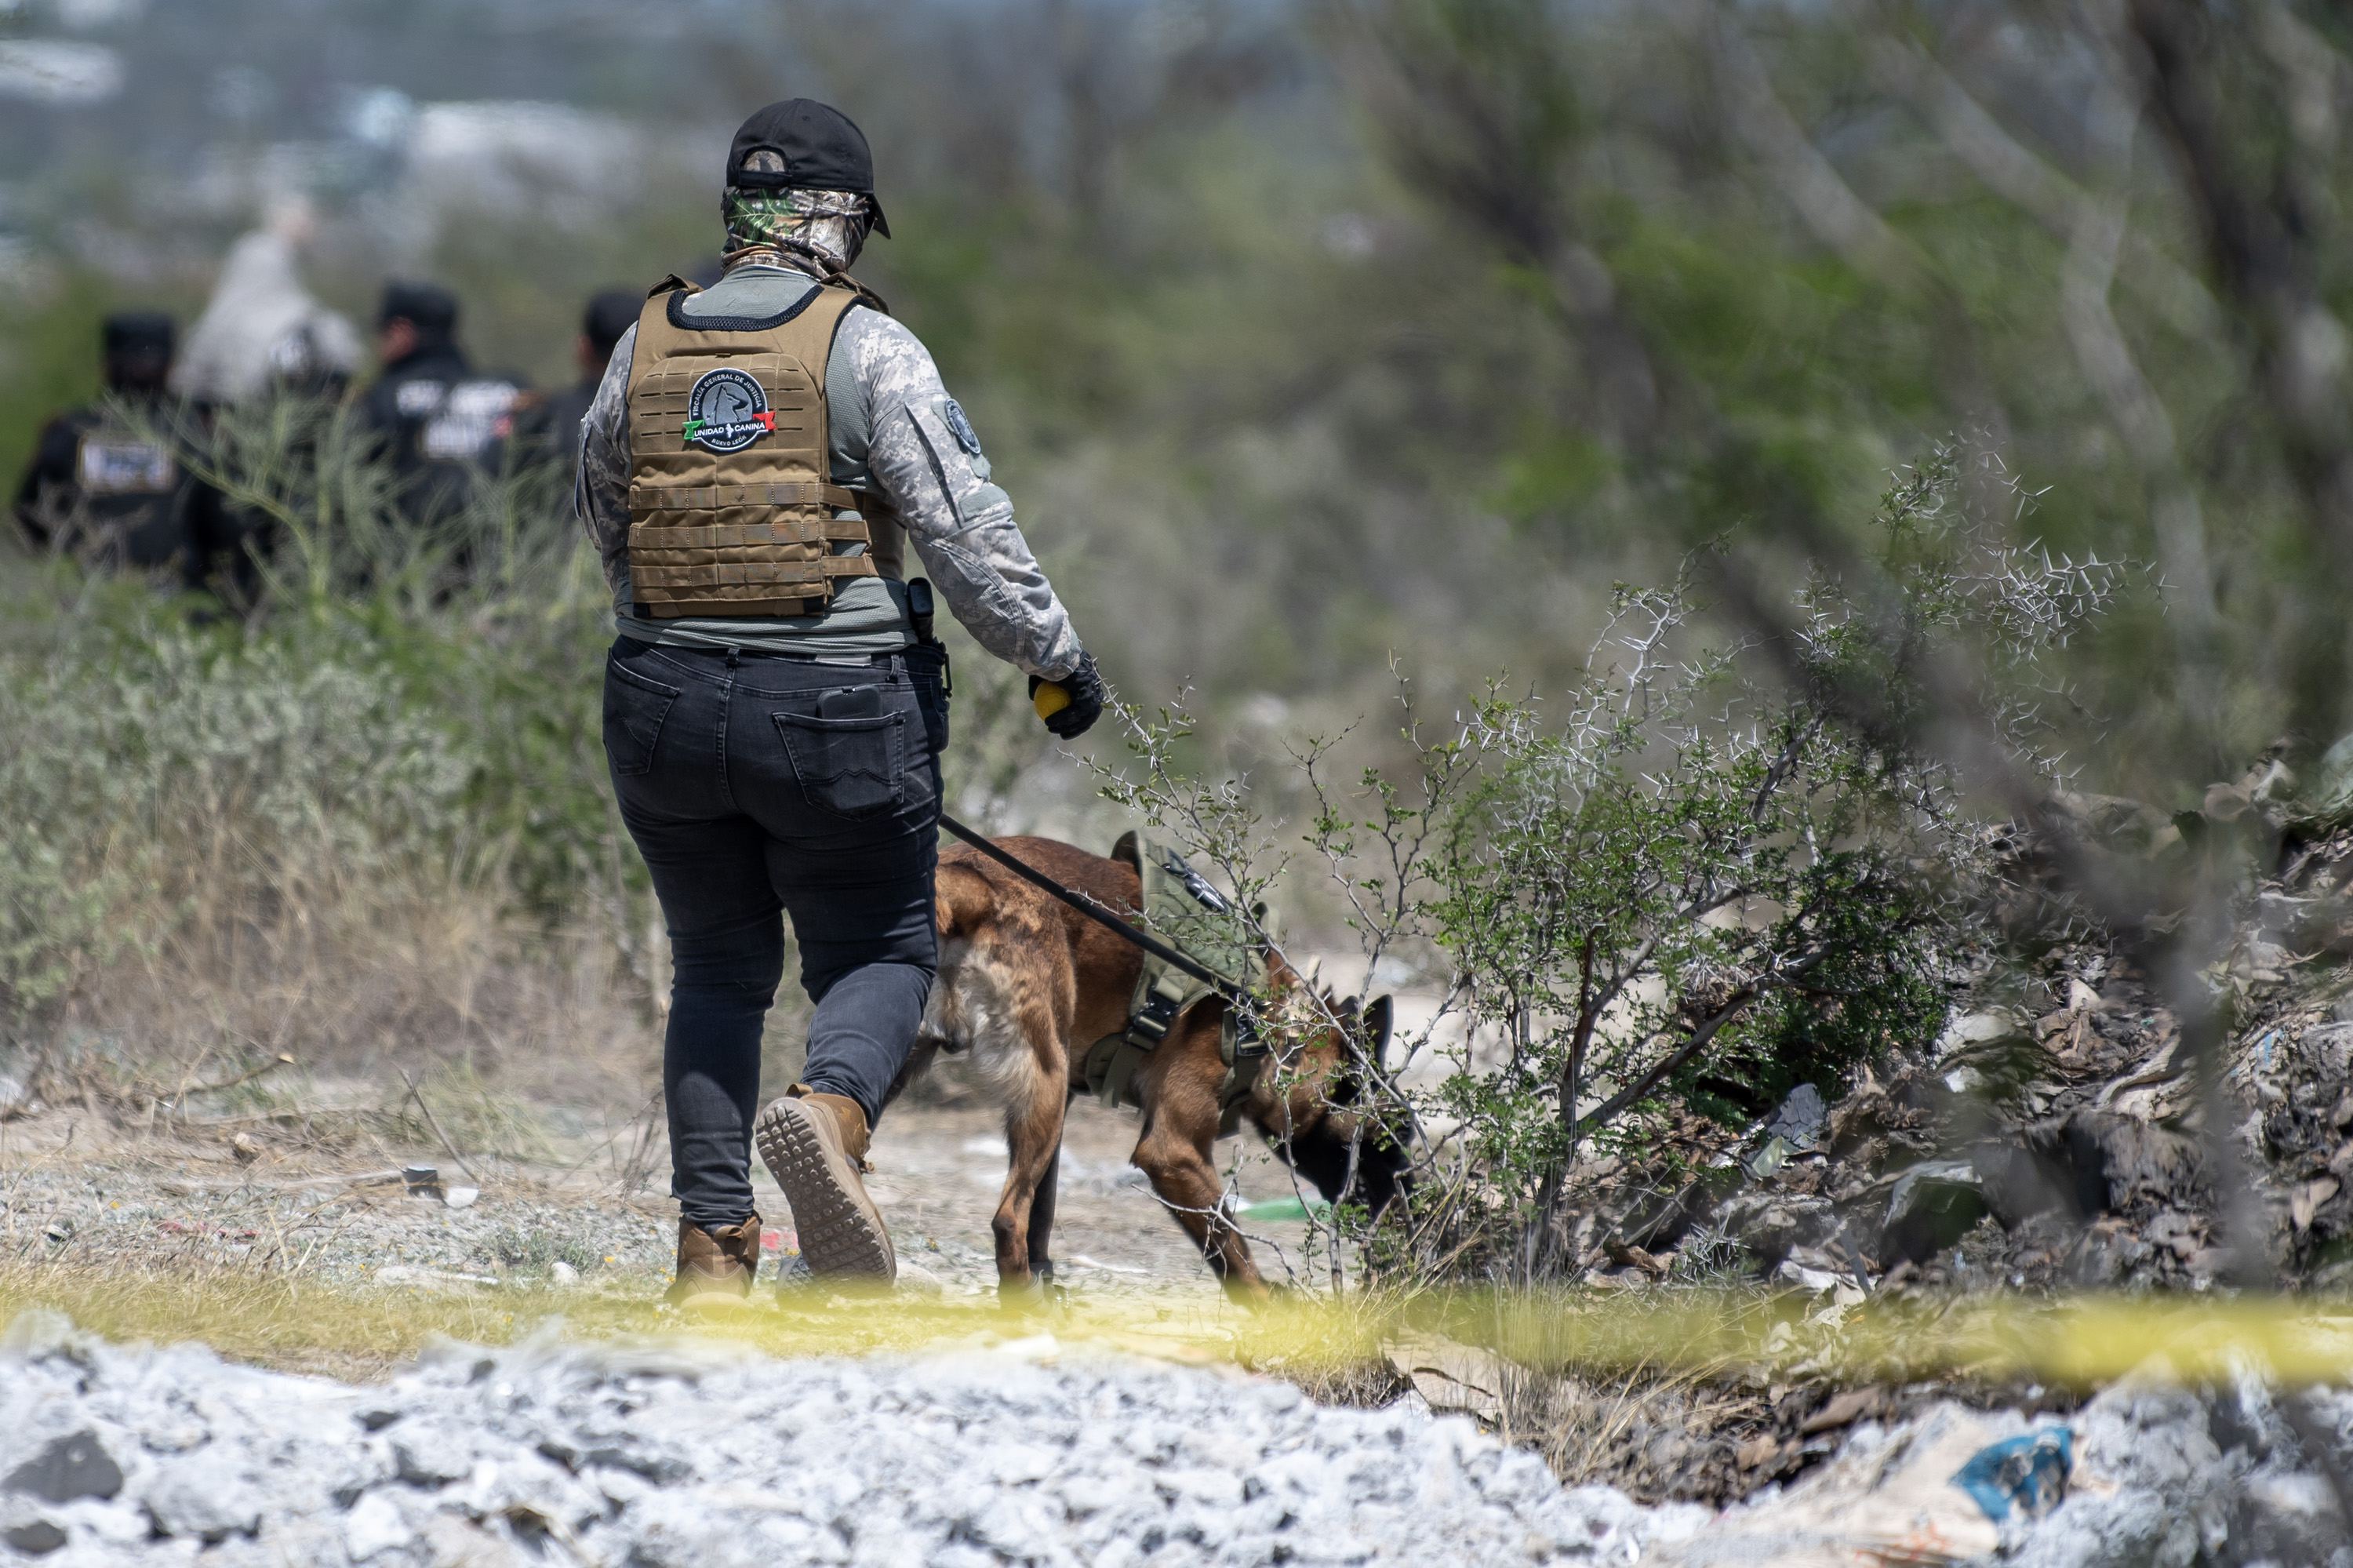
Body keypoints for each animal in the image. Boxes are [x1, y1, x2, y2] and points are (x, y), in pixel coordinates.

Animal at [894, 828, 1402, 1290]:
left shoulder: (1065, 1113)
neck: (1269, 1023)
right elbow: (1239, 1265)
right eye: (1390, 1139)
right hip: (1044, 1085)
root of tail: (971, 883)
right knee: (1007, 1222)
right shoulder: (1172, 1154)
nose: (1409, 1216)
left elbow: (1045, 1214)